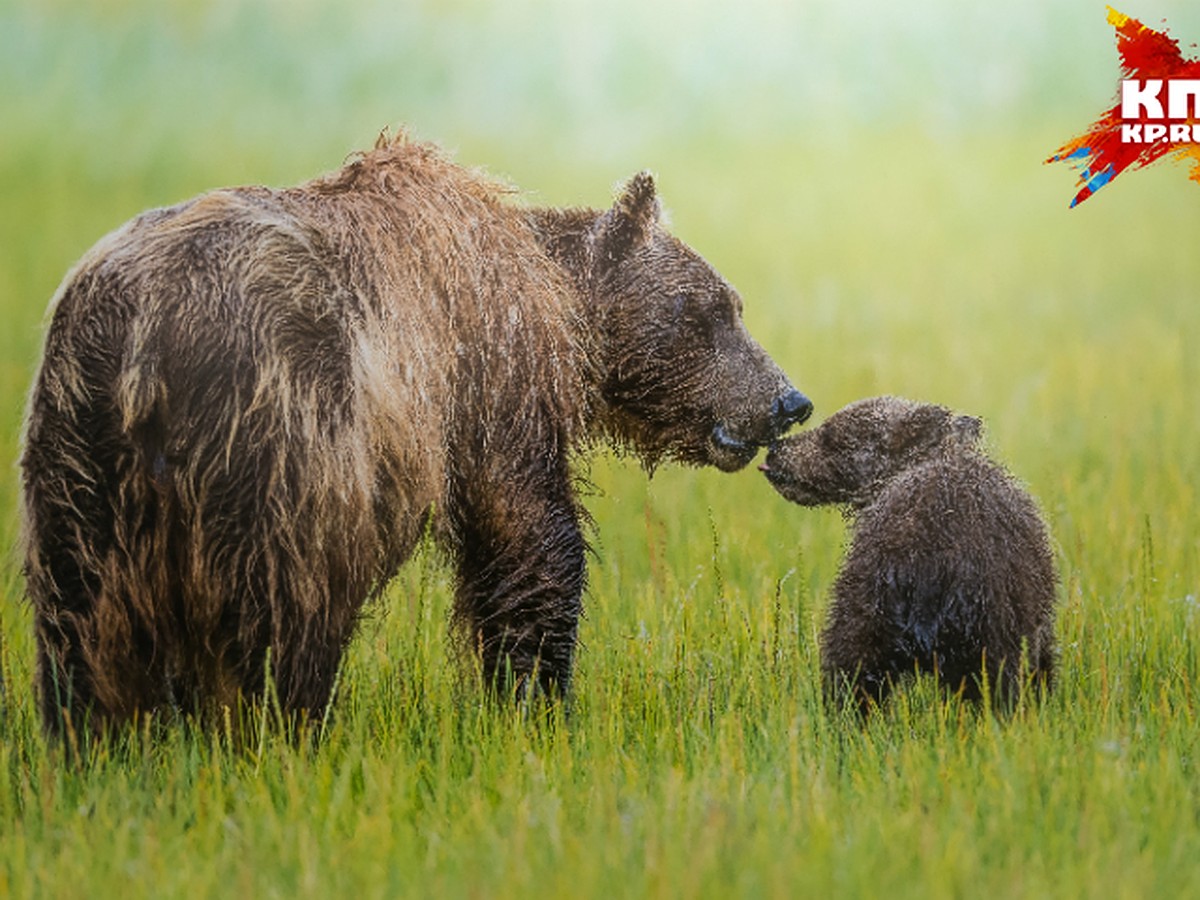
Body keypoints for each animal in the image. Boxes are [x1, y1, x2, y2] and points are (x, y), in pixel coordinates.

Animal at [18, 133, 811, 739]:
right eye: (713, 310)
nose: (789, 400)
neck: (557, 299)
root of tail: (147, 338)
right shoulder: (488, 366)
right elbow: (526, 533)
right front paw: (536, 698)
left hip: (75, 442)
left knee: (77, 616)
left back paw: (93, 736)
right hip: (282, 438)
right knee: (286, 607)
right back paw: (282, 728)